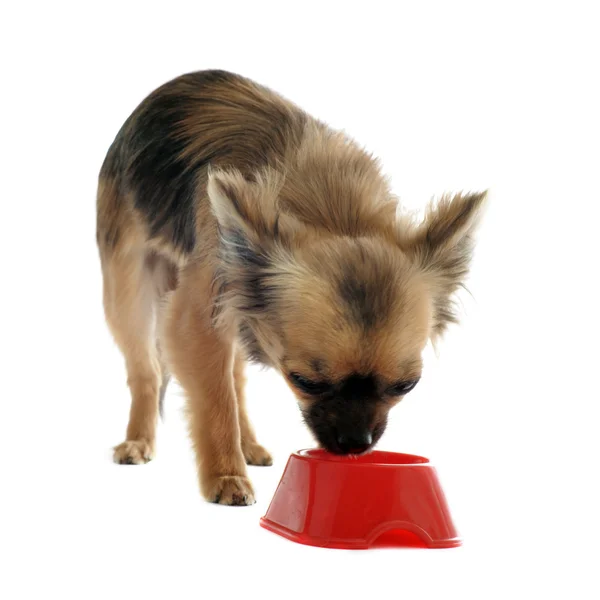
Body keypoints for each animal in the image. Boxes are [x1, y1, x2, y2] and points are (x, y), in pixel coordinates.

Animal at [96, 68, 486, 504]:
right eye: (304, 382)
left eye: (406, 385)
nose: (355, 443)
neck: (334, 211)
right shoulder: (195, 318)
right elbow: (214, 400)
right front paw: (226, 476)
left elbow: (225, 386)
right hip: (128, 290)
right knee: (146, 369)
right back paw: (139, 440)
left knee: (234, 376)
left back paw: (248, 444)